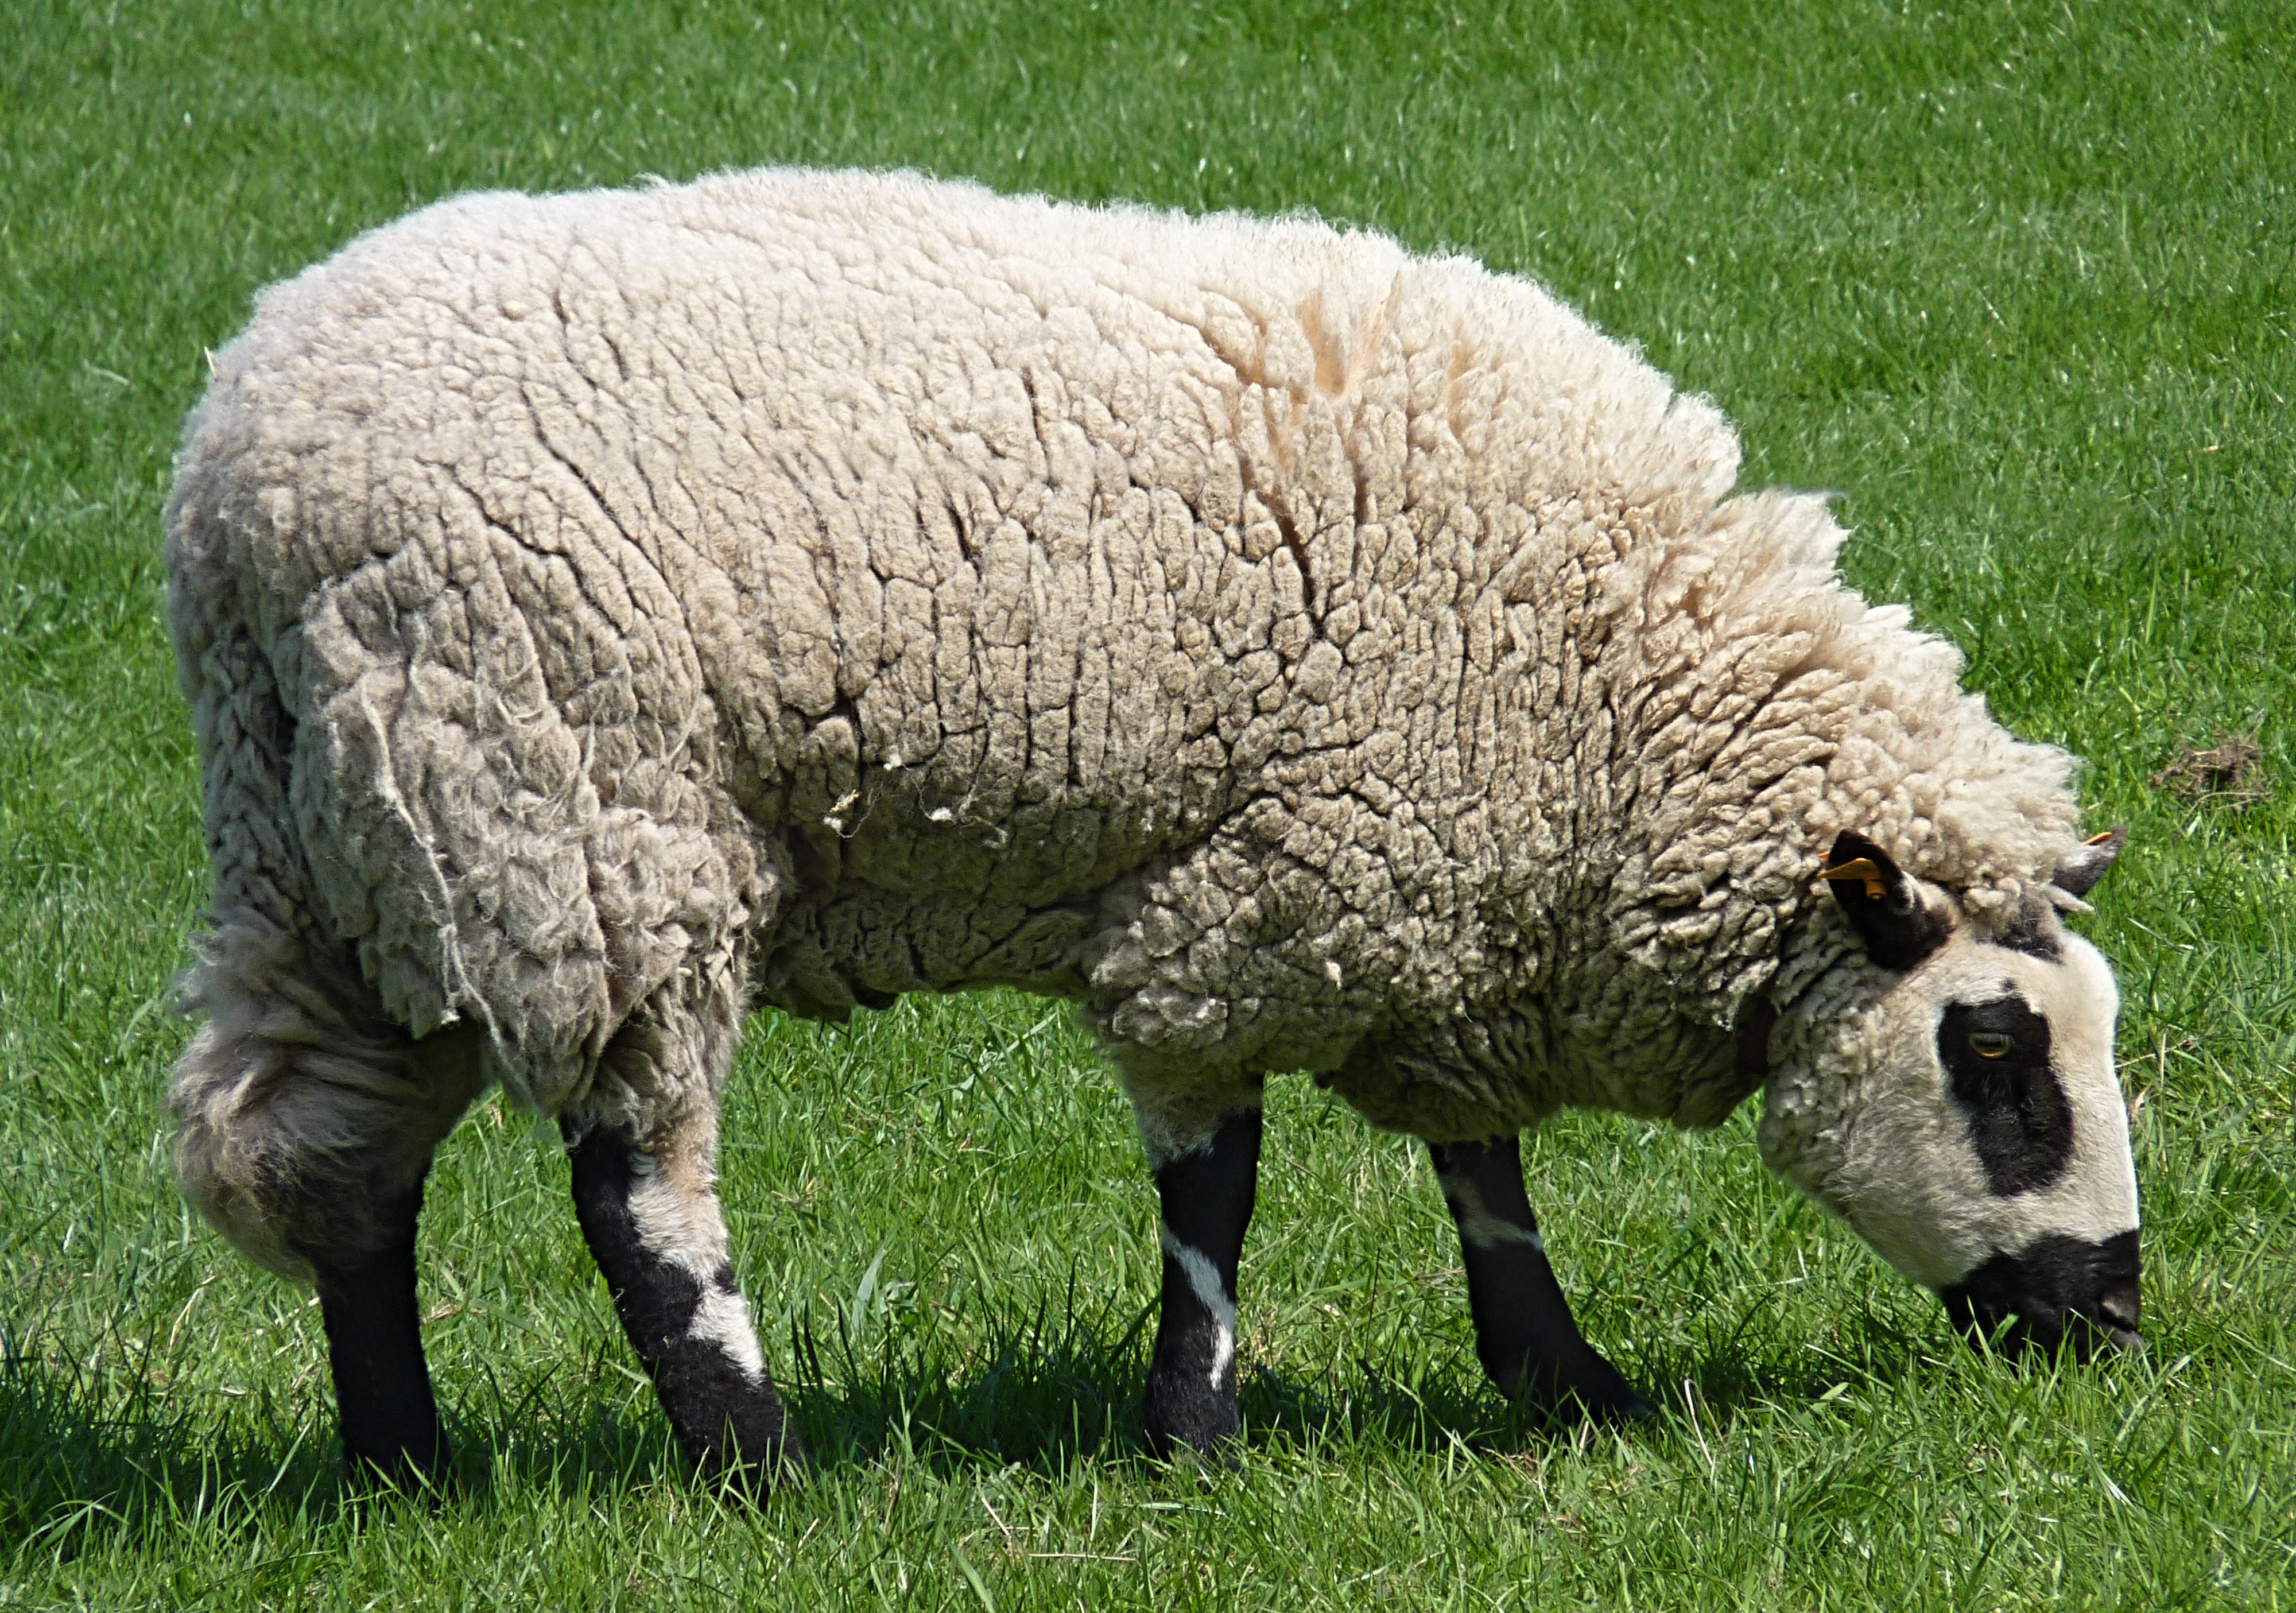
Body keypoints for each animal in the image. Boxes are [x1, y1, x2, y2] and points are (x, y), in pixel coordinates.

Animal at [163, 166, 2139, 1487]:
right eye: (1994, 1056)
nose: (2112, 1323)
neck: (1615, 690)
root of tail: (238, 465)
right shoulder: (1252, 893)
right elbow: (1221, 1186)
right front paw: (1191, 1433)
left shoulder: (1439, 887)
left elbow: (1480, 1160)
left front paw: (1560, 1378)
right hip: (577, 812)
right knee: (636, 1180)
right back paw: (755, 1463)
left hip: (345, 846)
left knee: (335, 1153)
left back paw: (403, 1457)